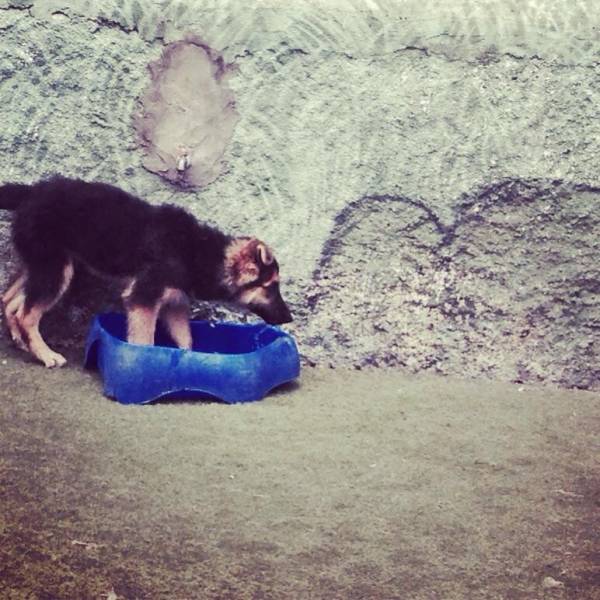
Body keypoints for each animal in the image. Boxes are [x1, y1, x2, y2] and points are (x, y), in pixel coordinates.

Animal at [0, 176, 290, 368]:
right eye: (271, 286)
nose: (288, 319)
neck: (201, 252)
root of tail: (30, 192)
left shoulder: (174, 302)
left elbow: (185, 339)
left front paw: (189, 361)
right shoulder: (144, 297)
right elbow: (144, 339)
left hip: (42, 265)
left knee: (11, 301)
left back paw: (22, 343)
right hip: (55, 270)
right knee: (26, 314)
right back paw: (45, 354)